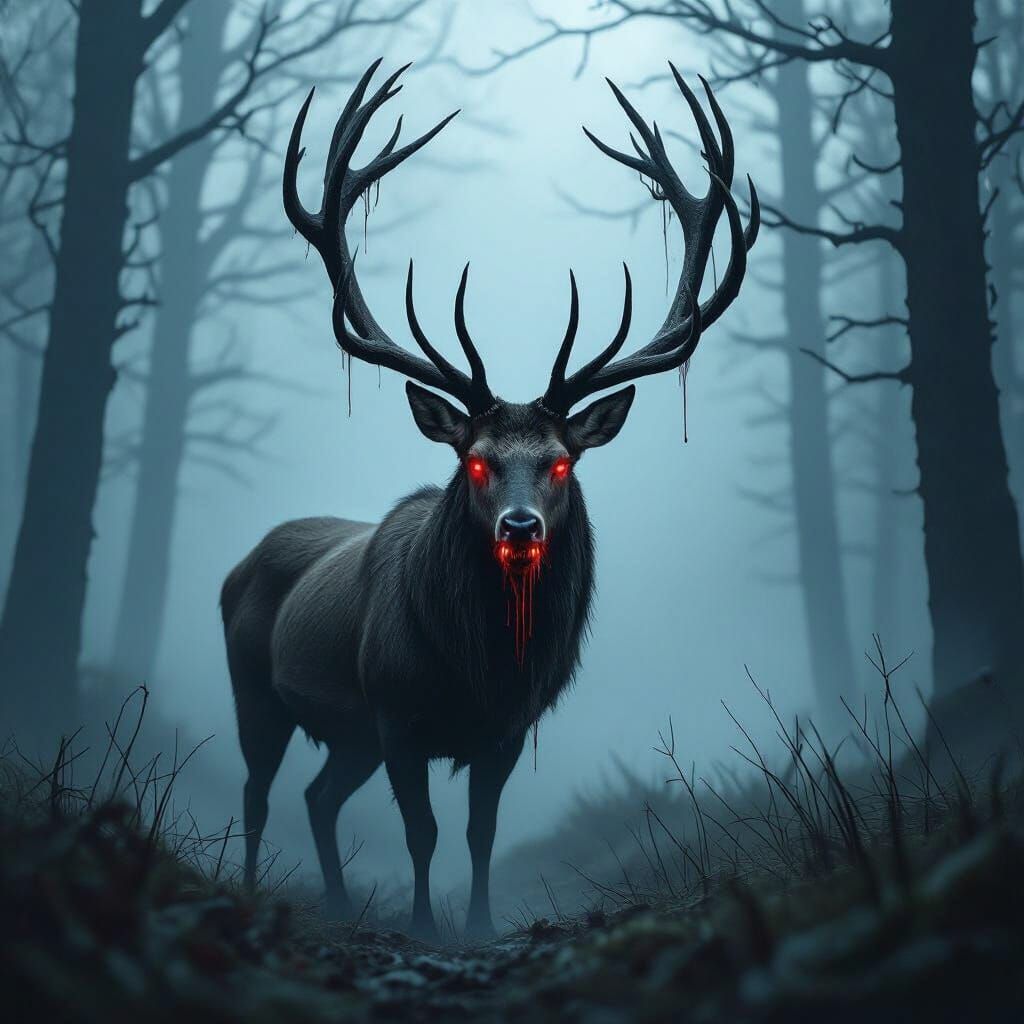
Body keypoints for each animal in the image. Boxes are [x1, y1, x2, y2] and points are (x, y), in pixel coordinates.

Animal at [220, 59, 758, 942]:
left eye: (562, 464)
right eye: (474, 462)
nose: (520, 525)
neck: (476, 668)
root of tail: (242, 560)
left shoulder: (507, 728)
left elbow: (479, 831)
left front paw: (475, 926)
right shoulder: (396, 713)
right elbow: (422, 831)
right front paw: (424, 927)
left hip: (348, 736)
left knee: (318, 796)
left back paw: (338, 905)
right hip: (255, 689)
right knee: (260, 793)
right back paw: (256, 892)